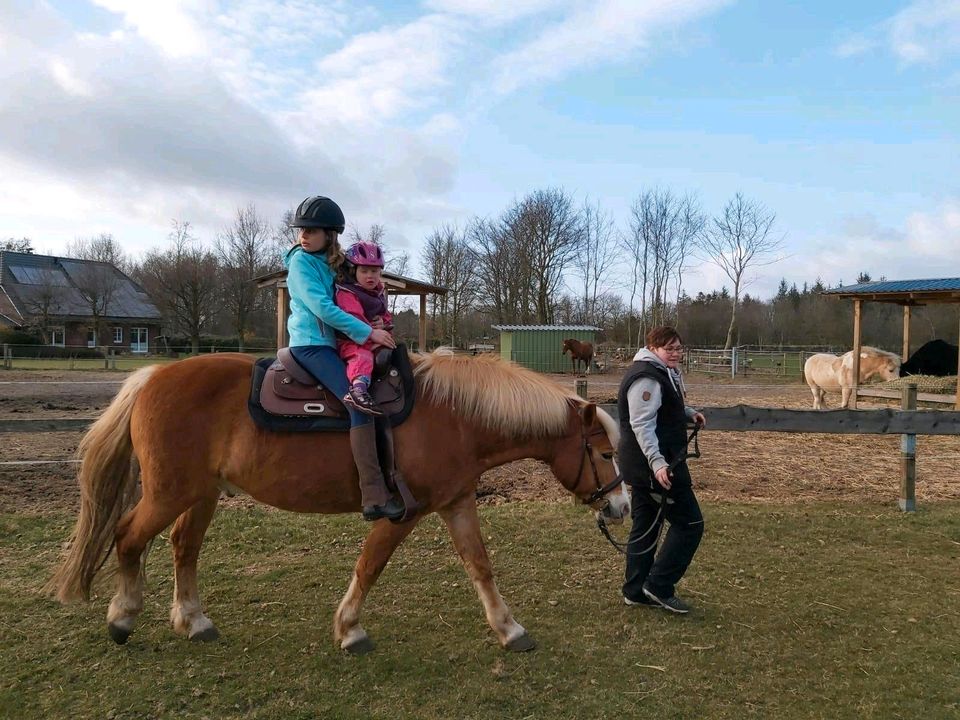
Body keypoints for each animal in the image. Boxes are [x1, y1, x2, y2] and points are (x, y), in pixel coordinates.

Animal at [47, 348, 632, 652]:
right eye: (605, 452)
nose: (621, 507)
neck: (455, 417)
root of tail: (151, 377)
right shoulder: (404, 512)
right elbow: (370, 564)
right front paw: (349, 629)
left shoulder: (457, 502)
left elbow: (480, 565)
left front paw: (510, 629)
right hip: (170, 493)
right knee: (128, 537)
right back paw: (122, 618)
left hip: (201, 494)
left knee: (182, 547)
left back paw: (194, 621)